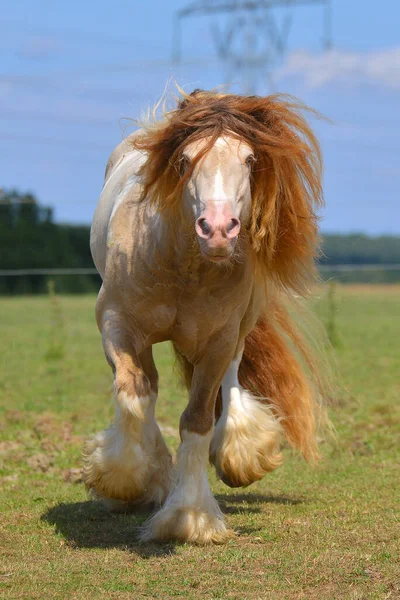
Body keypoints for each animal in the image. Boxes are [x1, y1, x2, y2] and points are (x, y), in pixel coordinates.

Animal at [84, 88, 328, 544]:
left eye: (249, 160)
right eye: (184, 160)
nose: (217, 230)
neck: (183, 267)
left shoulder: (217, 341)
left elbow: (196, 420)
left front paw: (188, 516)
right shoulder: (117, 326)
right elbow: (133, 394)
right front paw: (126, 478)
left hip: (240, 326)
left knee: (231, 376)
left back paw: (240, 453)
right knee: (148, 386)